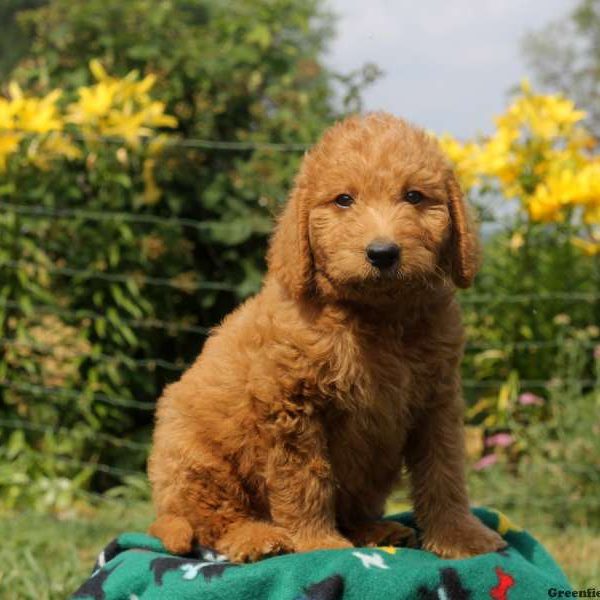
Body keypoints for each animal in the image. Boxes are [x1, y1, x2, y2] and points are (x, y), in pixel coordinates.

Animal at [149, 112, 506, 564]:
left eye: (414, 196)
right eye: (343, 200)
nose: (382, 253)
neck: (377, 317)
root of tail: (164, 509)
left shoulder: (436, 401)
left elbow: (445, 472)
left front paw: (461, 536)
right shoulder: (292, 406)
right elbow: (305, 479)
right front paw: (317, 543)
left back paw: (374, 529)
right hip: (195, 458)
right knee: (214, 519)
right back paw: (257, 537)